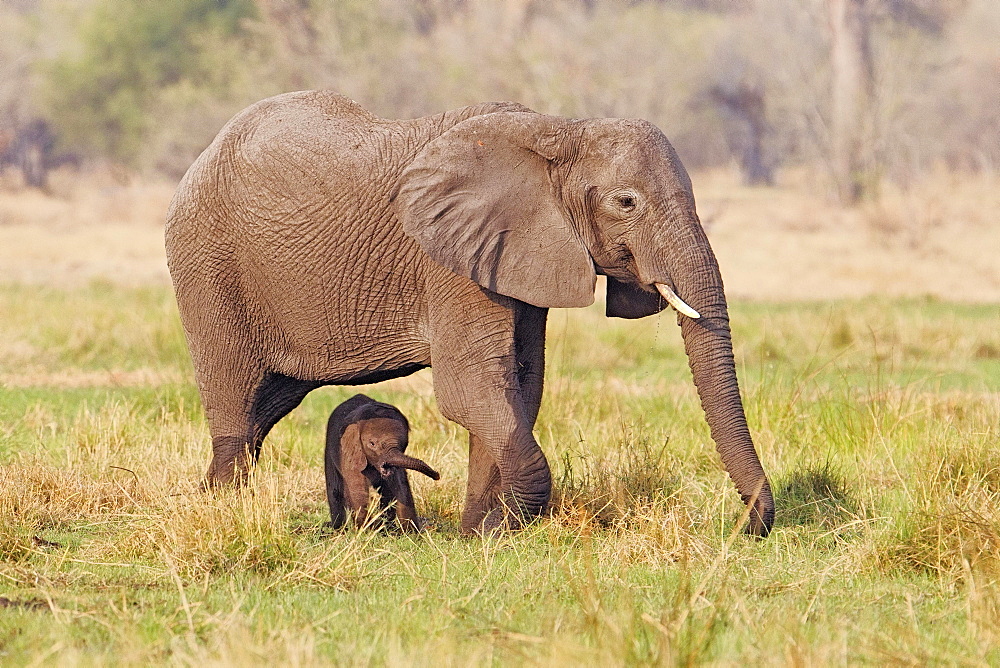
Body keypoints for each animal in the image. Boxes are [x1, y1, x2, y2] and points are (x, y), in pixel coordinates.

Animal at [326, 394, 440, 528]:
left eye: (405, 443)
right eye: (372, 443)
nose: (437, 475)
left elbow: (400, 485)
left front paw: (410, 531)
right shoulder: (350, 454)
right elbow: (357, 489)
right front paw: (367, 529)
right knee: (334, 490)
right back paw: (338, 527)